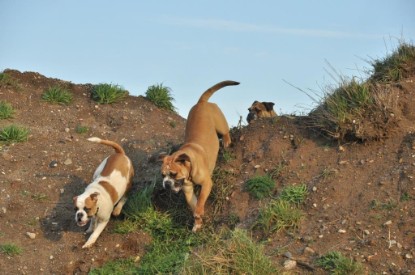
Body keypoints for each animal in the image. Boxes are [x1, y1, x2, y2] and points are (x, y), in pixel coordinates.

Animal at [160, 80, 239, 233]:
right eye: (162, 175)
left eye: (173, 174)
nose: (166, 184)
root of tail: (201, 102)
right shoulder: (188, 191)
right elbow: (194, 204)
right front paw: (197, 222)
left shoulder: (207, 183)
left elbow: (201, 199)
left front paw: (199, 212)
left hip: (220, 124)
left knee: (225, 131)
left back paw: (226, 141)